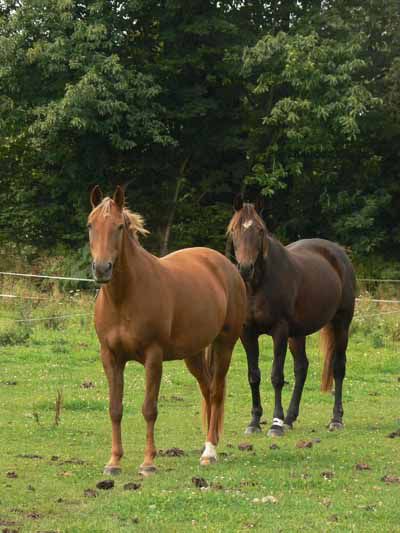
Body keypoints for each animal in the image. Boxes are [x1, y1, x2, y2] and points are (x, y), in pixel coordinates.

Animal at [87, 185, 247, 475]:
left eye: (119, 226)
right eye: (90, 225)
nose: (102, 268)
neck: (124, 297)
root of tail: (225, 264)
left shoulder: (153, 356)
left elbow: (149, 409)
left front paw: (149, 462)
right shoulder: (110, 357)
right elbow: (115, 408)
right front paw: (114, 462)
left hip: (225, 344)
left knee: (216, 391)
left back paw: (209, 451)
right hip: (193, 354)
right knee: (207, 390)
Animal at [227, 195, 356, 436]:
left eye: (260, 230)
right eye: (234, 230)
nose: (246, 268)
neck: (258, 285)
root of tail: (338, 253)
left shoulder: (279, 331)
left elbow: (276, 376)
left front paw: (275, 424)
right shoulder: (247, 333)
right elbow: (254, 375)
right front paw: (254, 422)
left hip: (341, 323)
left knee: (338, 367)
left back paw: (336, 419)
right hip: (298, 334)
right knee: (301, 368)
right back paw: (290, 417)